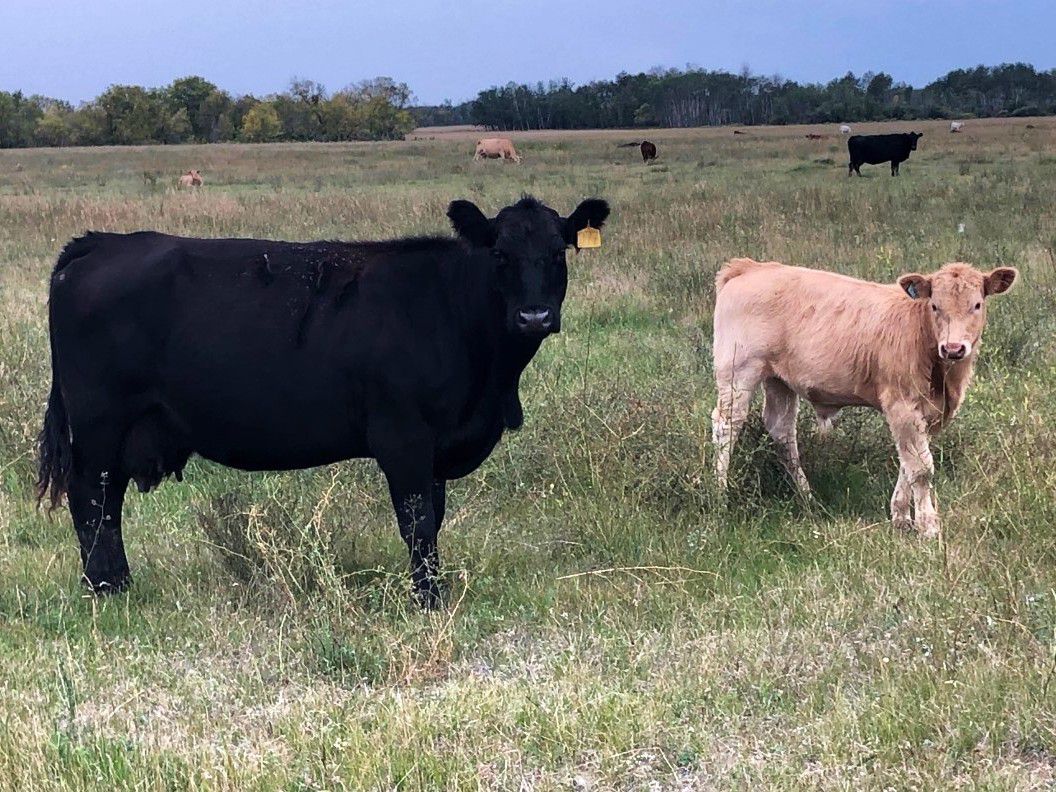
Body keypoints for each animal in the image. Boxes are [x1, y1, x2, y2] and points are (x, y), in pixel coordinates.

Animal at [36, 195, 610, 607]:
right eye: (500, 255)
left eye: (558, 252)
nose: (534, 316)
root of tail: (99, 244)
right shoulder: (403, 437)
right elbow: (418, 521)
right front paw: (428, 599)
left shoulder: (435, 448)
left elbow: (435, 517)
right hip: (99, 424)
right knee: (92, 500)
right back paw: (105, 589)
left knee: (107, 502)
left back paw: (119, 583)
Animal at [711, 258, 1017, 538]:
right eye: (935, 306)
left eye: (976, 305)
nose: (953, 348)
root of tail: (751, 267)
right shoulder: (902, 406)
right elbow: (920, 468)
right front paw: (928, 528)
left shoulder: (926, 413)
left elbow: (908, 462)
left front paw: (901, 518)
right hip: (739, 373)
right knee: (726, 426)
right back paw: (719, 495)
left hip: (779, 381)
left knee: (782, 430)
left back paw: (806, 496)